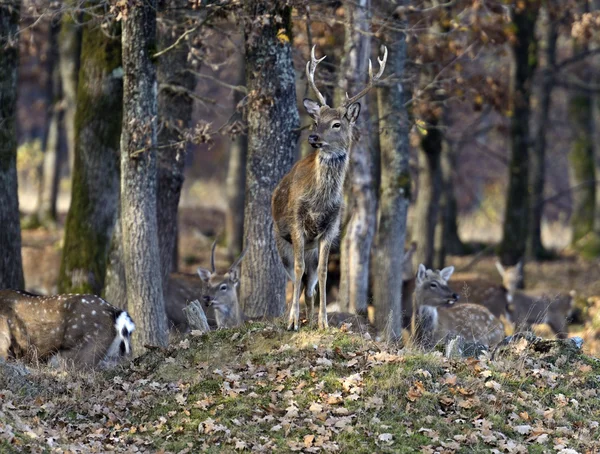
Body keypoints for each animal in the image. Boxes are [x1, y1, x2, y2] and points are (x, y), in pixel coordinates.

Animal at [274, 45, 390, 330]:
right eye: (316, 121)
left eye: (337, 124)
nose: (313, 137)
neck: (319, 202)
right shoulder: (296, 223)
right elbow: (298, 269)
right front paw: (292, 321)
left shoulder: (331, 229)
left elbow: (325, 273)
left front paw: (324, 321)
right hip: (280, 240)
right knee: (295, 276)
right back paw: (294, 317)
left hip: (312, 246)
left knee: (310, 284)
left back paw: (310, 317)